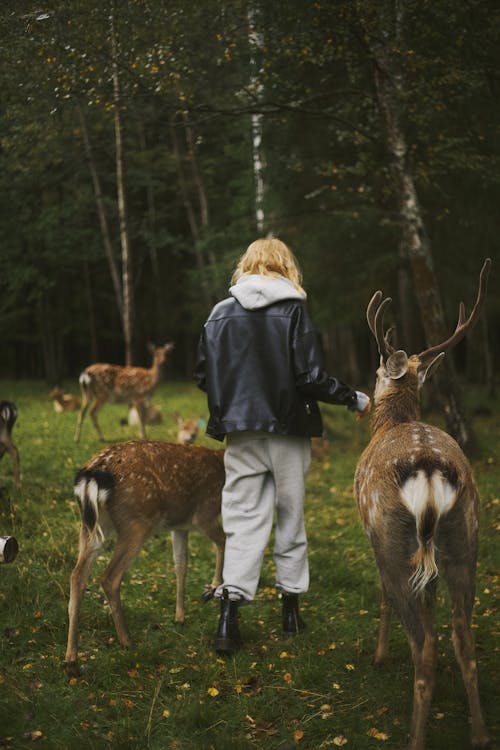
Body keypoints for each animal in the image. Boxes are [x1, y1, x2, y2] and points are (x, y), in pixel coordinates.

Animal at [64, 438, 225, 680]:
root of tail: (94, 473)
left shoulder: (180, 526)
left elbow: (181, 564)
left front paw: (180, 617)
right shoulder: (205, 513)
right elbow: (224, 540)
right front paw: (213, 588)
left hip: (91, 525)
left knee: (77, 576)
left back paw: (71, 661)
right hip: (137, 522)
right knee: (109, 577)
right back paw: (126, 640)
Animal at [356, 260, 492, 750]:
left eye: (378, 367)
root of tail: (432, 470)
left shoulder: (373, 537)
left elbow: (381, 595)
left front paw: (378, 656)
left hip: (392, 537)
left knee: (425, 644)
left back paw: (415, 736)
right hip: (465, 536)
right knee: (463, 637)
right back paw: (480, 733)